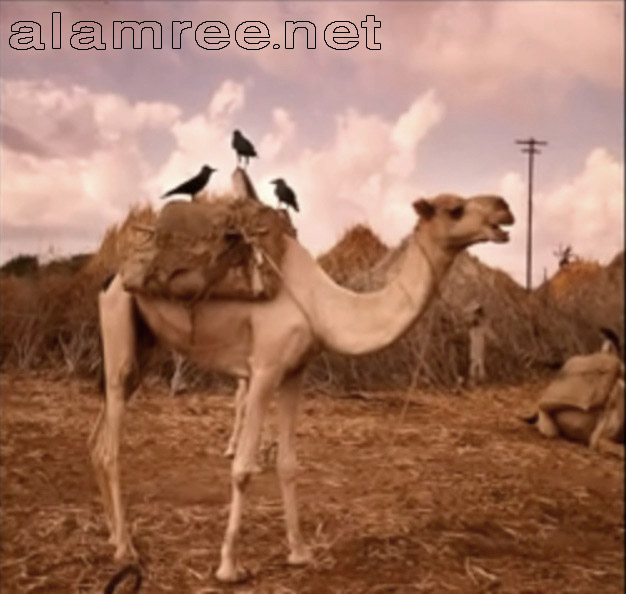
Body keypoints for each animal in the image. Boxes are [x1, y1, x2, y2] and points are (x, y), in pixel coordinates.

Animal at [89, 188, 514, 582]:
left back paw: (112, 537)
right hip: (120, 330)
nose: (504, 209)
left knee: (98, 438)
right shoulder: (264, 368)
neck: (322, 304)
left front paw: (299, 552)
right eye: (455, 209)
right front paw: (229, 567)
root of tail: (111, 278)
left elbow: (289, 464)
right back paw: (126, 549)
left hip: (141, 345)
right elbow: (243, 468)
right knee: (110, 448)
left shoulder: (294, 372)